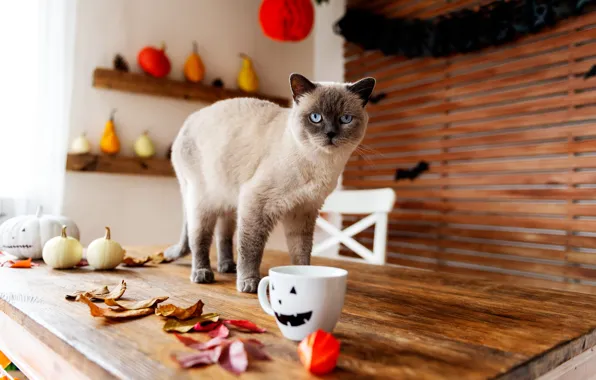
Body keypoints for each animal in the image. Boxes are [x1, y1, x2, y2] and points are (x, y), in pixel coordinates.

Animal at [165, 74, 374, 294]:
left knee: (224, 236)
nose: (330, 134)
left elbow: (301, 251)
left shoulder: (302, 211)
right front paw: (249, 283)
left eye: (345, 119)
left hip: (229, 202)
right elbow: (250, 249)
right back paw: (203, 273)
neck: (320, 164)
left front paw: (305, 274)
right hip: (204, 200)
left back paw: (227, 266)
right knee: (199, 239)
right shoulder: (256, 203)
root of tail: (189, 119)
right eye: (316, 117)